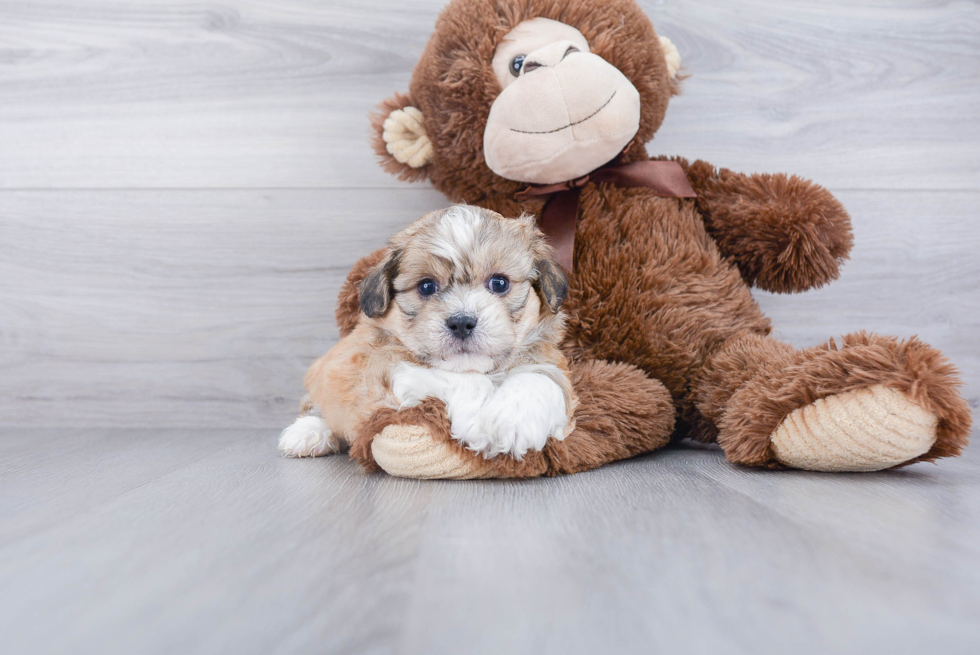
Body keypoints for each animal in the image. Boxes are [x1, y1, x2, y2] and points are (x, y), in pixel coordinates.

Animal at [280, 205, 580, 462]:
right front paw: (477, 424)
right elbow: (462, 381)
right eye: (426, 287)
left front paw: (512, 423)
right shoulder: (385, 364)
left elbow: (538, 379)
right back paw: (308, 433)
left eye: (499, 283)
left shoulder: (550, 361)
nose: (461, 322)